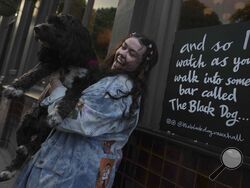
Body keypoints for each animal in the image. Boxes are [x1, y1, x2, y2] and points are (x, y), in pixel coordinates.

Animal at [0, 13, 99, 181]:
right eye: (49, 21)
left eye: (59, 24)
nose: (37, 27)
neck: (68, 58)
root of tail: (38, 126)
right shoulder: (50, 63)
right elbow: (32, 73)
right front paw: (15, 88)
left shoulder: (82, 81)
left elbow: (70, 97)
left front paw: (58, 113)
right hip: (25, 123)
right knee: (24, 143)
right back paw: (12, 165)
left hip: (46, 130)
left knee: (36, 144)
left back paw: (26, 149)